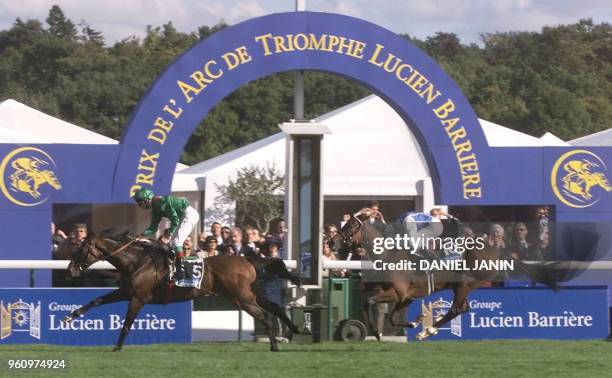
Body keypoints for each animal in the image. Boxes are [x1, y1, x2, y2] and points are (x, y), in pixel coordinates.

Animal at [59, 233, 302, 352]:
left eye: (81, 248)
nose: (70, 269)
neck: (137, 262)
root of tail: (247, 259)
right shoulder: (126, 292)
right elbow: (97, 300)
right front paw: (68, 318)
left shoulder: (138, 297)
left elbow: (127, 323)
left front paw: (117, 347)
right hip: (251, 294)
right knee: (275, 307)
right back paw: (295, 329)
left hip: (240, 298)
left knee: (265, 316)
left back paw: (274, 345)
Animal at [332, 208, 556, 342]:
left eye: (350, 226)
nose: (331, 242)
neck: (388, 253)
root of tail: (497, 249)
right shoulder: (406, 296)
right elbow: (393, 317)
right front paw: (415, 321)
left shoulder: (399, 292)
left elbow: (369, 301)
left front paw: (377, 333)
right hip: (462, 286)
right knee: (463, 308)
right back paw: (426, 330)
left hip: (466, 282)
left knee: (456, 308)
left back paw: (428, 331)